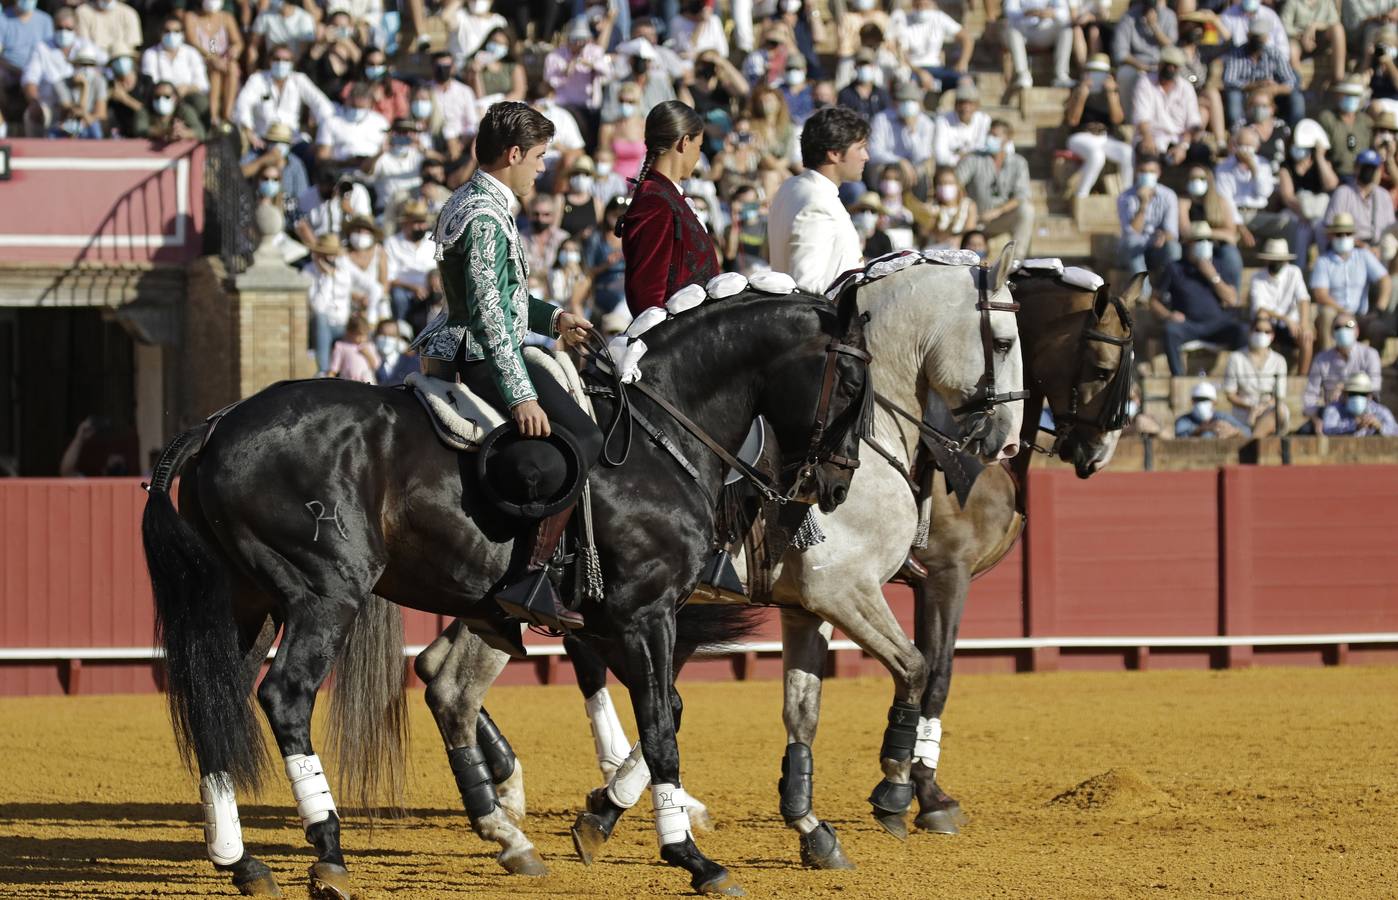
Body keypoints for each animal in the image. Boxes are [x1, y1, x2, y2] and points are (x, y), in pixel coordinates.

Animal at [141, 290, 861, 900]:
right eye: (853, 383)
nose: (834, 483)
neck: (659, 435)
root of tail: (217, 425)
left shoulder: (612, 622)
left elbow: (668, 711)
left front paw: (599, 819)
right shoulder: (644, 613)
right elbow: (660, 727)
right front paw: (692, 858)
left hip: (246, 603)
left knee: (217, 699)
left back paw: (242, 861)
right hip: (325, 594)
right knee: (285, 696)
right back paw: (329, 850)